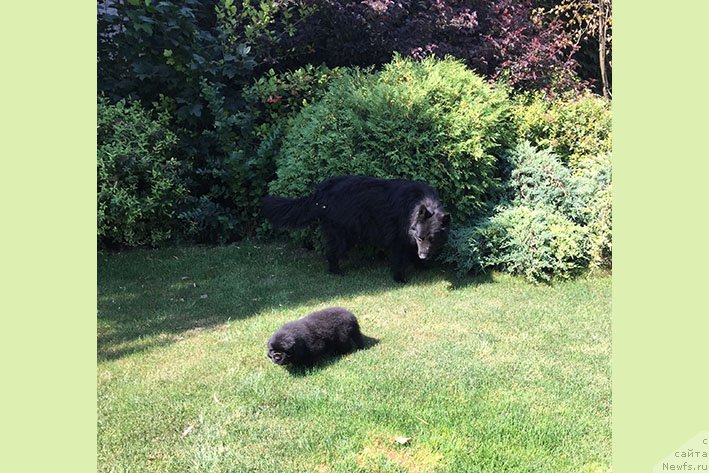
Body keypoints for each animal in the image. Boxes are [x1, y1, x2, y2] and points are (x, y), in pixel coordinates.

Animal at [260, 176, 448, 280]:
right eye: (420, 238)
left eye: (432, 239)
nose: (424, 256)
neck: (417, 204)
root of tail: (321, 192)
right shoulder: (395, 239)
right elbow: (397, 259)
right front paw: (399, 278)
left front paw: (421, 266)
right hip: (342, 234)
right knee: (332, 253)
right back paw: (336, 272)